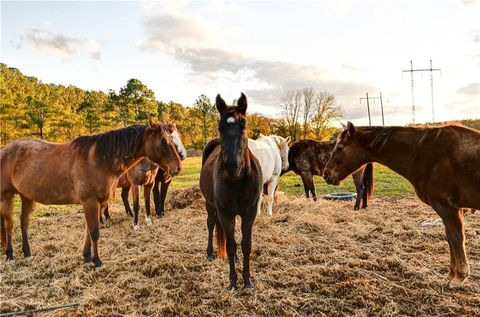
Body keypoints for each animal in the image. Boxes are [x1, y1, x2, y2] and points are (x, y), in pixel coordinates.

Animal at [0, 121, 181, 266]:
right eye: (164, 141)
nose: (177, 167)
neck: (99, 160)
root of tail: (4, 150)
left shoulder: (98, 202)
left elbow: (89, 230)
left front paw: (87, 257)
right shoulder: (90, 201)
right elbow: (94, 231)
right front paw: (97, 260)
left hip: (26, 196)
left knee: (24, 222)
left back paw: (27, 252)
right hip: (6, 196)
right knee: (9, 224)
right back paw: (10, 256)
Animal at [201, 92, 264, 288]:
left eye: (244, 126)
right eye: (220, 128)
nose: (232, 167)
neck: (238, 182)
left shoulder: (249, 212)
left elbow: (245, 244)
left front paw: (248, 280)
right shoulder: (224, 212)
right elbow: (230, 244)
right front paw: (233, 281)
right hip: (210, 205)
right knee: (211, 224)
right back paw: (209, 253)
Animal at [322, 121, 480, 286]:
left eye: (340, 148)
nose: (326, 174)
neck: (427, 152)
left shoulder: (447, 208)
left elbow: (456, 239)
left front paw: (459, 276)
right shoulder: (451, 210)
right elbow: (450, 240)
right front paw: (450, 275)